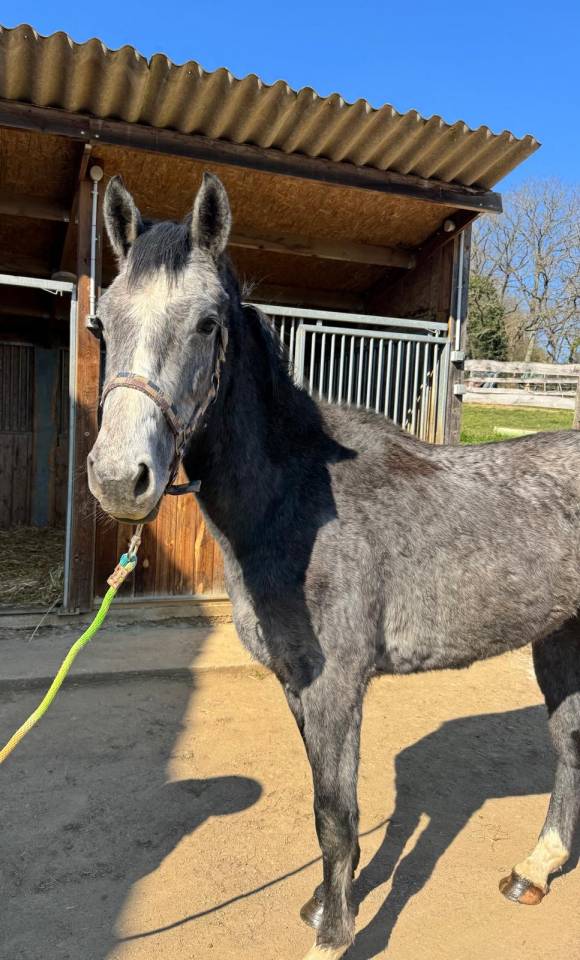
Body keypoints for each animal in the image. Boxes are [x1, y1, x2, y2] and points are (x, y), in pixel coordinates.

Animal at [88, 171, 580, 958]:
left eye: (206, 324)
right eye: (101, 326)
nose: (118, 479)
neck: (298, 500)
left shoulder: (336, 687)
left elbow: (336, 813)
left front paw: (334, 934)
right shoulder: (297, 686)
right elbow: (329, 810)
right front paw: (326, 904)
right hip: (558, 638)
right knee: (568, 742)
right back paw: (534, 870)